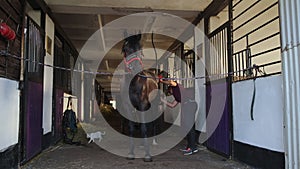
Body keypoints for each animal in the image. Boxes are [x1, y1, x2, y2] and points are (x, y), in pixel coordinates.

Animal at [120, 31, 158, 162]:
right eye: (125, 49)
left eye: (140, 48)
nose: (135, 68)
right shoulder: (128, 106)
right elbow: (132, 128)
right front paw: (131, 153)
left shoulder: (142, 105)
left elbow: (144, 127)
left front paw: (148, 155)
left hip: (153, 105)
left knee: (152, 123)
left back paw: (153, 142)